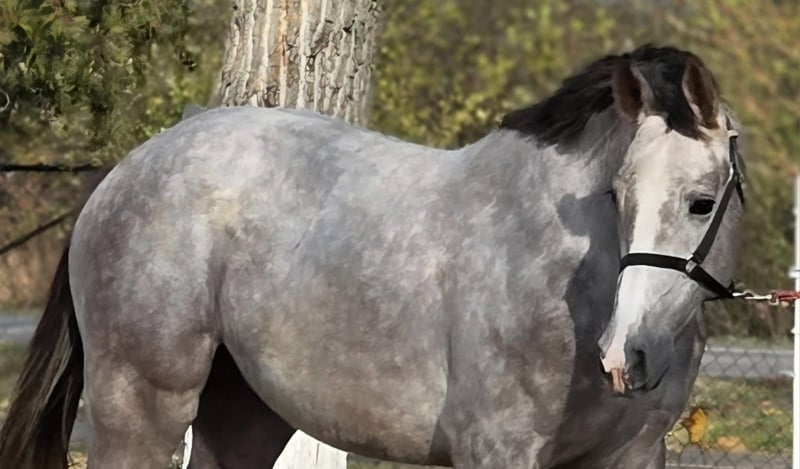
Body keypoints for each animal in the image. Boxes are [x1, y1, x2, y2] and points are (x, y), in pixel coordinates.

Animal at [0, 44, 744, 469]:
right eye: (617, 194)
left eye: (703, 201)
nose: (627, 356)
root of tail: (129, 169)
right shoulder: (497, 450)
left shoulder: (632, 455)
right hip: (141, 407)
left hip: (243, 414)